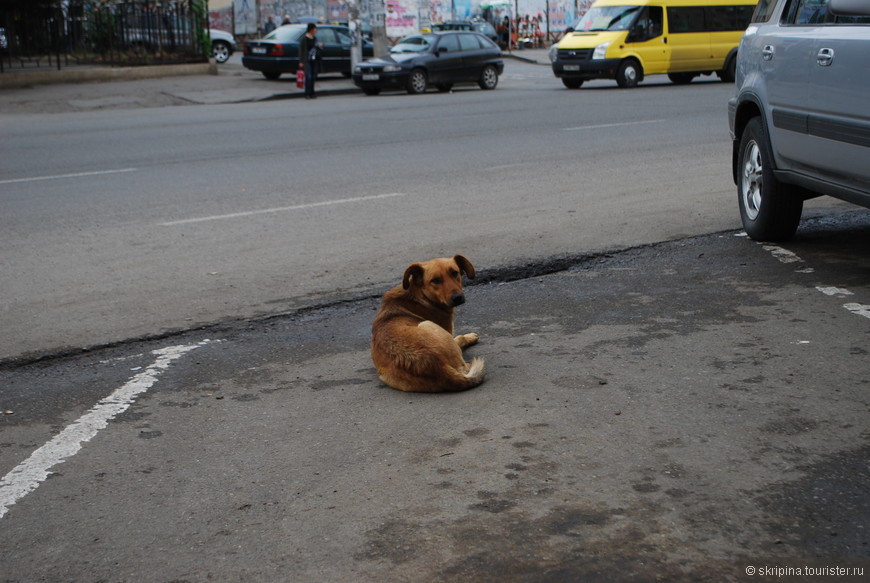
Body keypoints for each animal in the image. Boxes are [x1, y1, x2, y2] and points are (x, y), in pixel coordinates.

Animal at [372, 254, 488, 394]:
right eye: (435, 280)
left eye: (454, 273)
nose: (457, 298)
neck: (420, 295)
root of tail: (438, 367)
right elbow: (459, 338)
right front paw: (470, 337)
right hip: (427, 324)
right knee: (464, 367)